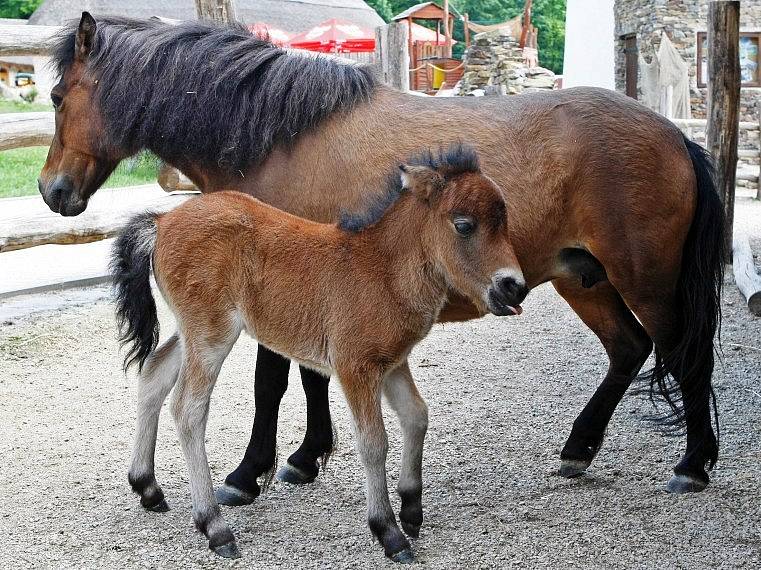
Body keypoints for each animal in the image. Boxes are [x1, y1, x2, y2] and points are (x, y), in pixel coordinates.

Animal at [41, 13, 724, 500]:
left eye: (56, 95)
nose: (52, 191)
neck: (283, 137)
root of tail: (675, 136)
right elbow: (309, 375)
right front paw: (305, 457)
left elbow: (272, 382)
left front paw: (248, 473)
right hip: (584, 279)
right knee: (629, 350)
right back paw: (579, 449)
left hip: (646, 281)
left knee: (684, 354)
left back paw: (693, 464)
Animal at [111, 145, 528, 560]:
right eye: (464, 225)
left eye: (504, 220)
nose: (515, 287)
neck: (384, 269)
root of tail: (163, 220)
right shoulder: (355, 365)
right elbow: (374, 442)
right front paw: (388, 531)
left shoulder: (393, 362)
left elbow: (416, 416)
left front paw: (411, 508)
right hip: (211, 333)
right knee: (188, 409)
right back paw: (214, 526)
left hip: (193, 332)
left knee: (154, 374)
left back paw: (147, 487)